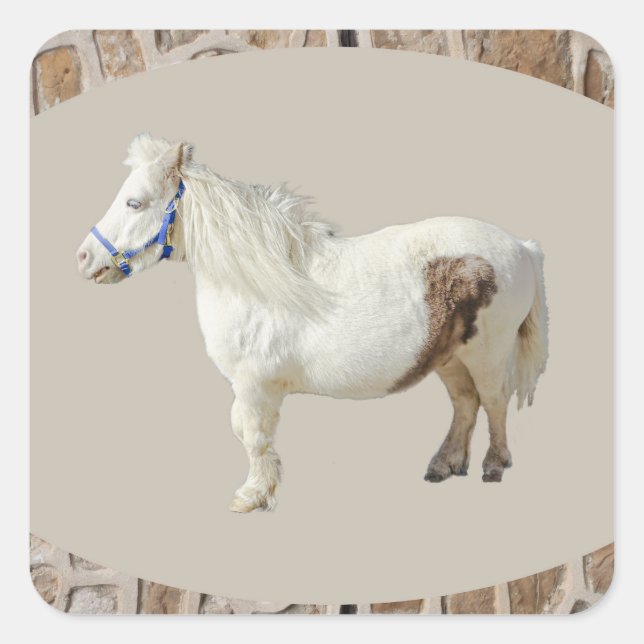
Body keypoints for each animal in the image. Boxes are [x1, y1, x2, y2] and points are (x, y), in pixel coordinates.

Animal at [76, 134, 549, 513]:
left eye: (134, 202)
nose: (83, 257)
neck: (255, 280)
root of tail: (522, 247)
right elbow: (249, 434)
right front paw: (262, 491)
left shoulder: (253, 386)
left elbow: (250, 435)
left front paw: (251, 497)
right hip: (449, 357)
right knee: (465, 404)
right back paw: (445, 465)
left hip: (487, 353)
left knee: (495, 402)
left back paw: (493, 466)